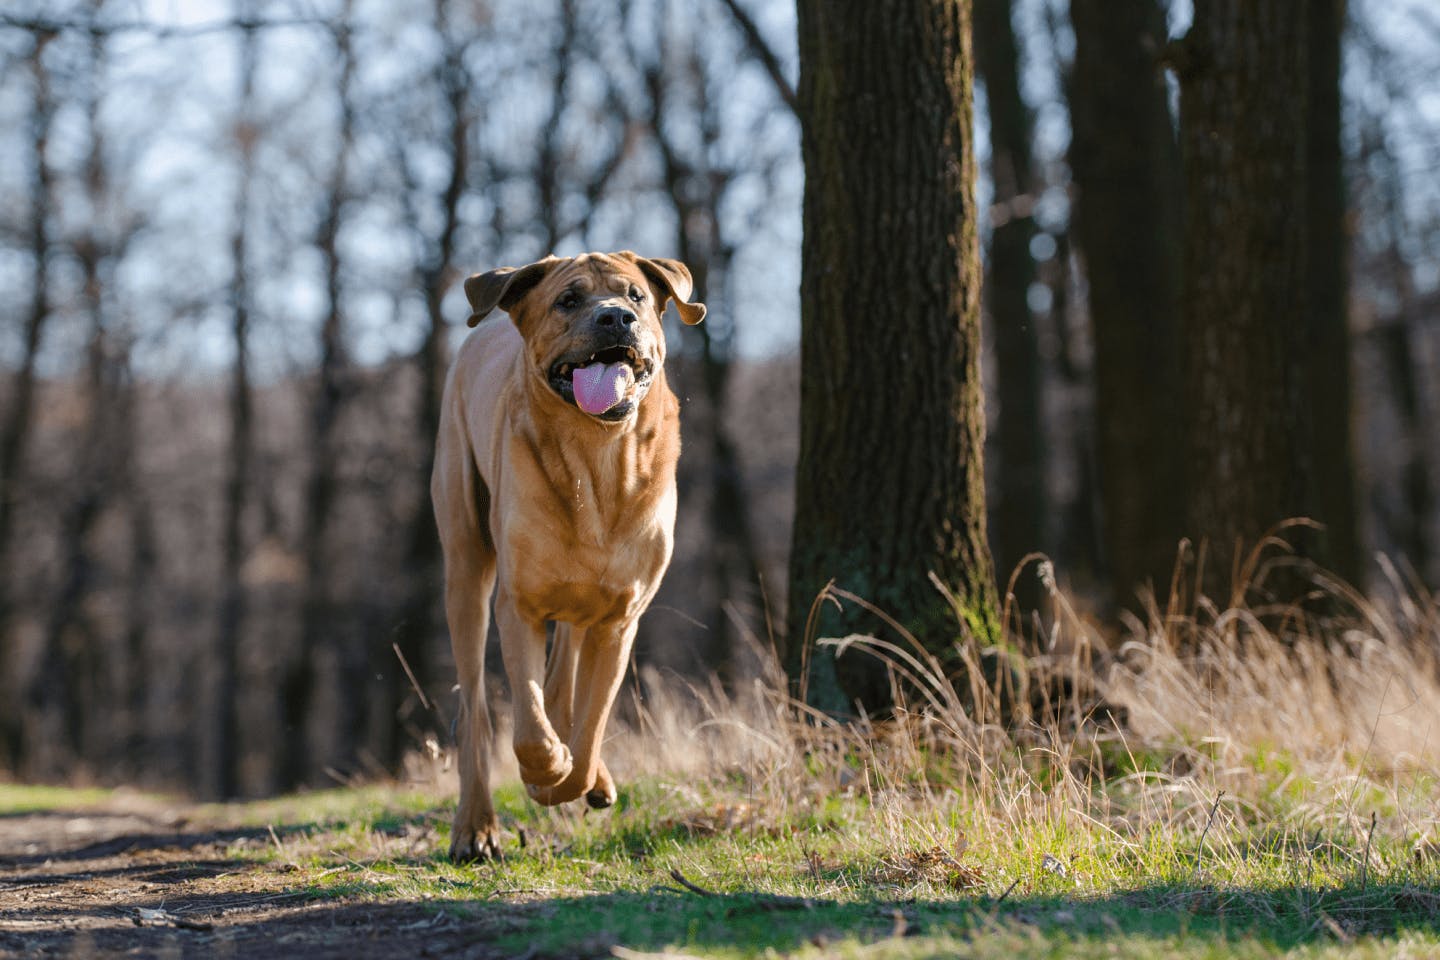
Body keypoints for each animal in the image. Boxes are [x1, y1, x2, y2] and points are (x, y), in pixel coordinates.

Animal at [432, 251, 708, 857]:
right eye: (568, 300)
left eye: (635, 296)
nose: (615, 318)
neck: (597, 458)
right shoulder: (519, 605)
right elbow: (531, 731)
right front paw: (544, 771)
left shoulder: (619, 619)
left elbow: (591, 721)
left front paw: (574, 777)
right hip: (464, 566)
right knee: (476, 711)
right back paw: (475, 827)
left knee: (565, 691)